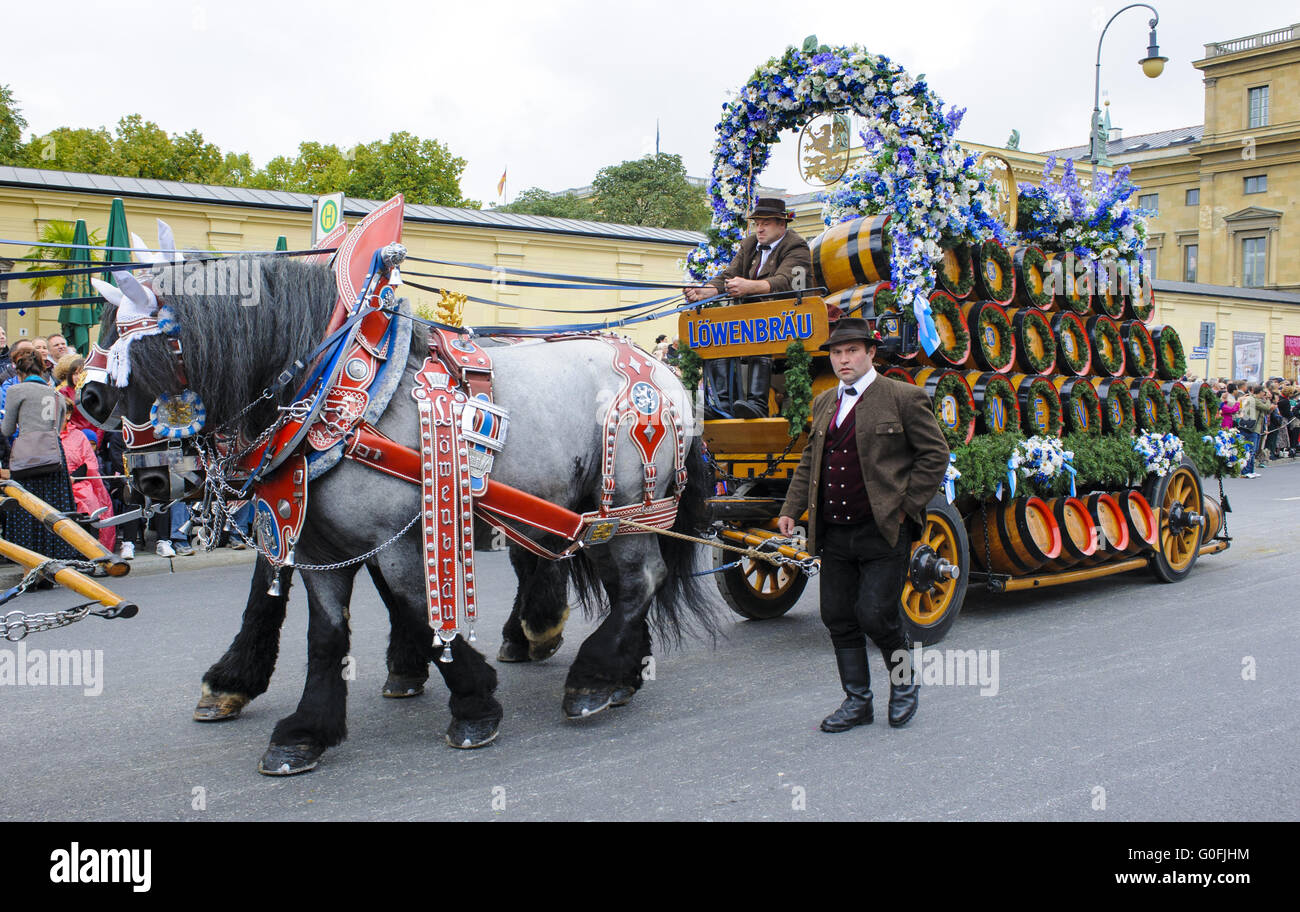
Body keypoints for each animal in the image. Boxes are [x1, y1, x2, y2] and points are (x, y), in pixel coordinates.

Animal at [109, 255, 722, 769]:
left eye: (153, 358)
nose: (147, 478)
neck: (336, 394)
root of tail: (660, 372)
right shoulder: (313, 544)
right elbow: (325, 635)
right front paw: (304, 731)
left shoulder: (397, 538)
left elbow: (422, 610)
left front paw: (474, 704)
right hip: (595, 512)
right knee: (625, 582)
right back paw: (619, 673)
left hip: (629, 499)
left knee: (640, 580)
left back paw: (591, 680)